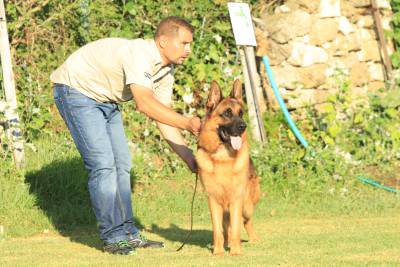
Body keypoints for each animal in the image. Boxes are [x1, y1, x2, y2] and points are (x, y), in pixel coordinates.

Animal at [195, 79, 260, 255]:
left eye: (241, 113)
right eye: (227, 113)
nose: (243, 126)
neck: (222, 157)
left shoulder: (236, 200)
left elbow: (237, 227)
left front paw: (236, 251)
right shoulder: (213, 200)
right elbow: (217, 229)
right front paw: (218, 251)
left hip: (245, 206)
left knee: (246, 221)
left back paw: (253, 239)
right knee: (227, 227)